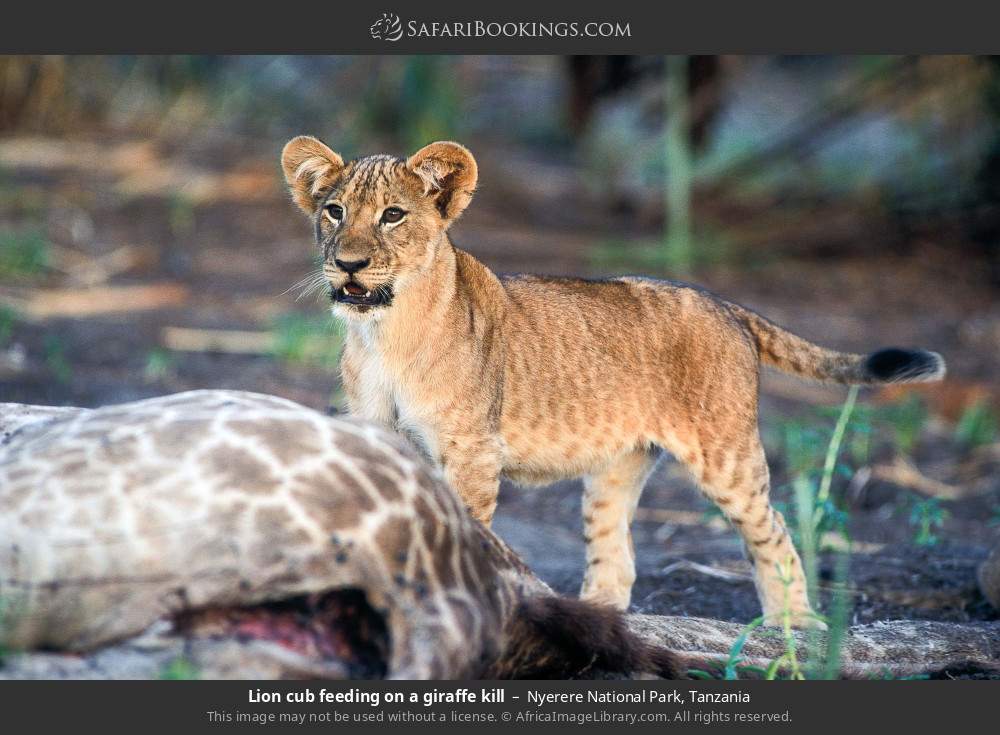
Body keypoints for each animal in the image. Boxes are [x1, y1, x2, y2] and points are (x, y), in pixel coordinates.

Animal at [280, 136, 946, 628]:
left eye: (393, 215)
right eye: (335, 212)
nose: (348, 264)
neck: (383, 333)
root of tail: (726, 305)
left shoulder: (470, 451)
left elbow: (462, 533)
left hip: (726, 452)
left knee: (774, 531)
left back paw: (796, 625)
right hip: (616, 467)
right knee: (615, 559)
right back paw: (594, 615)